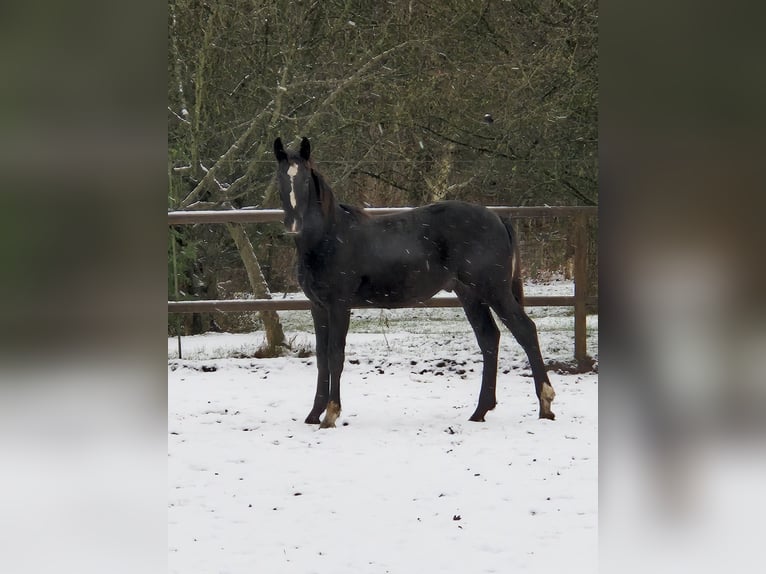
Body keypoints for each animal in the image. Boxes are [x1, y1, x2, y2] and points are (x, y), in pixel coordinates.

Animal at [273, 137, 556, 428]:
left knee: (525, 330)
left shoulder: (339, 305)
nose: (293, 225)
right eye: (280, 178)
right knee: (489, 338)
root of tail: (498, 218)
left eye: (305, 179)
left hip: (494, 291)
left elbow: (335, 356)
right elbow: (321, 357)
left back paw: (545, 405)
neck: (328, 238)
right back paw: (479, 412)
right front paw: (313, 414)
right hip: (470, 295)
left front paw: (331, 414)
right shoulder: (318, 307)